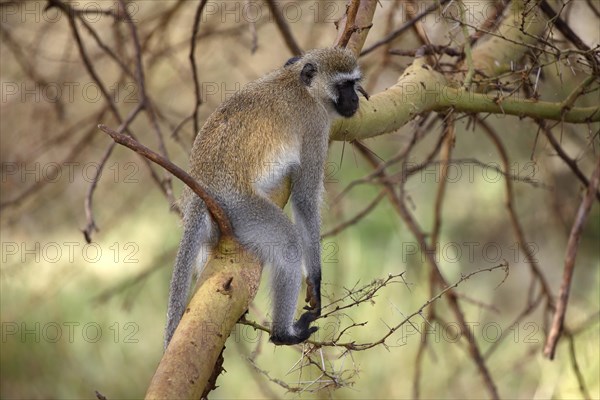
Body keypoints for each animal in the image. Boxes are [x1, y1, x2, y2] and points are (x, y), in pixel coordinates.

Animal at [166, 47, 368, 346]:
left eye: (353, 83)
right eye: (344, 85)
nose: (355, 98)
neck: (302, 87)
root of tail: (200, 186)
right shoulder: (316, 126)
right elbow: (305, 200)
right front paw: (315, 281)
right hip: (240, 207)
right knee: (289, 244)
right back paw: (283, 333)